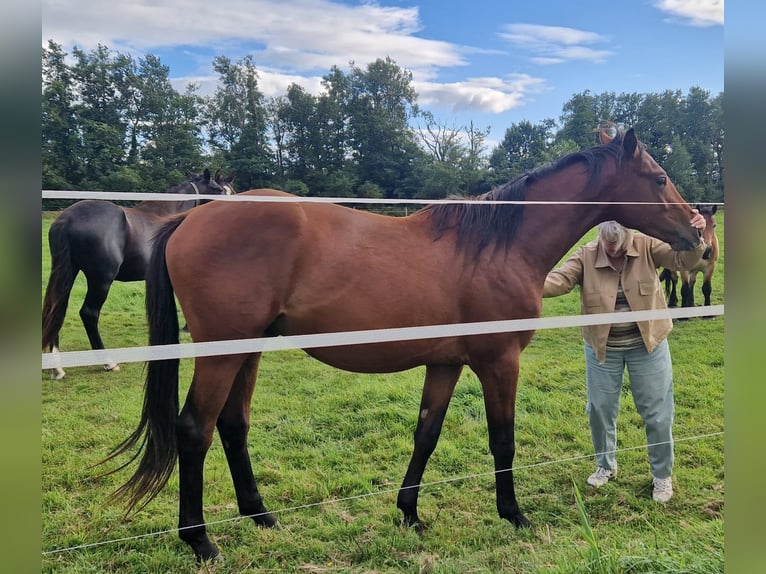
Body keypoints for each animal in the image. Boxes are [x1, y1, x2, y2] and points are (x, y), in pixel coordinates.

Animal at [41, 169, 235, 379]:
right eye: (218, 189)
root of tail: (67, 218)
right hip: (101, 280)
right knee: (89, 313)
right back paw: (108, 362)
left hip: (68, 271)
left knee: (55, 307)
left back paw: (57, 368)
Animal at [107, 126, 702, 561]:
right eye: (659, 177)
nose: (697, 231)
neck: (496, 247)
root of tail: (192, 218)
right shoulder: (498, 362)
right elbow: (502, 441)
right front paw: (513, 514)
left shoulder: (445, 364)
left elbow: (426, 434)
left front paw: (410, 513)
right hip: (222, 352)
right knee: (195, 430)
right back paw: (200, 540)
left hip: (247, 350)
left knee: (233, 426)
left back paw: (262, 516)